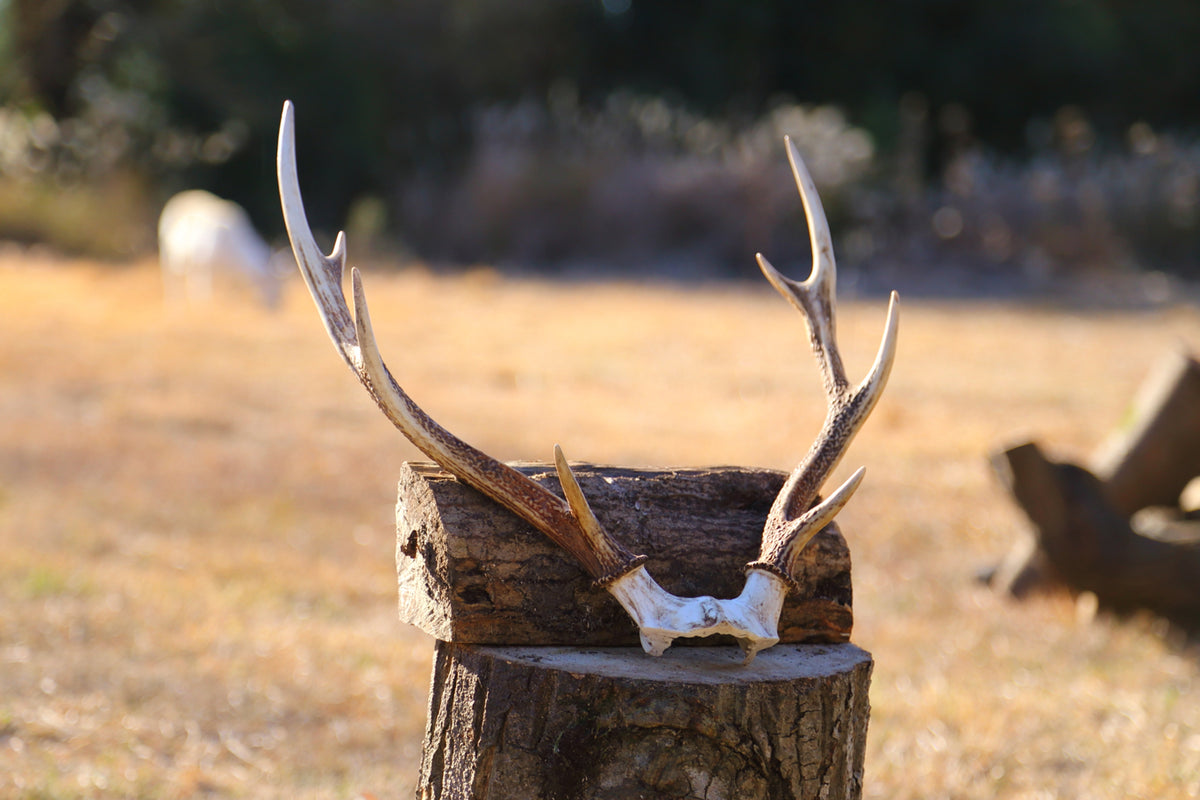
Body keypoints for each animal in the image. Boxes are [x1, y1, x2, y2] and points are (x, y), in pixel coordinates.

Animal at [158, 189, 287, 309]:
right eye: (275, 283)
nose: (277, 307)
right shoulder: (205, 262)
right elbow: (204, 285)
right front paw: (205, 303)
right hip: (166, 253)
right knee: (172, 277)